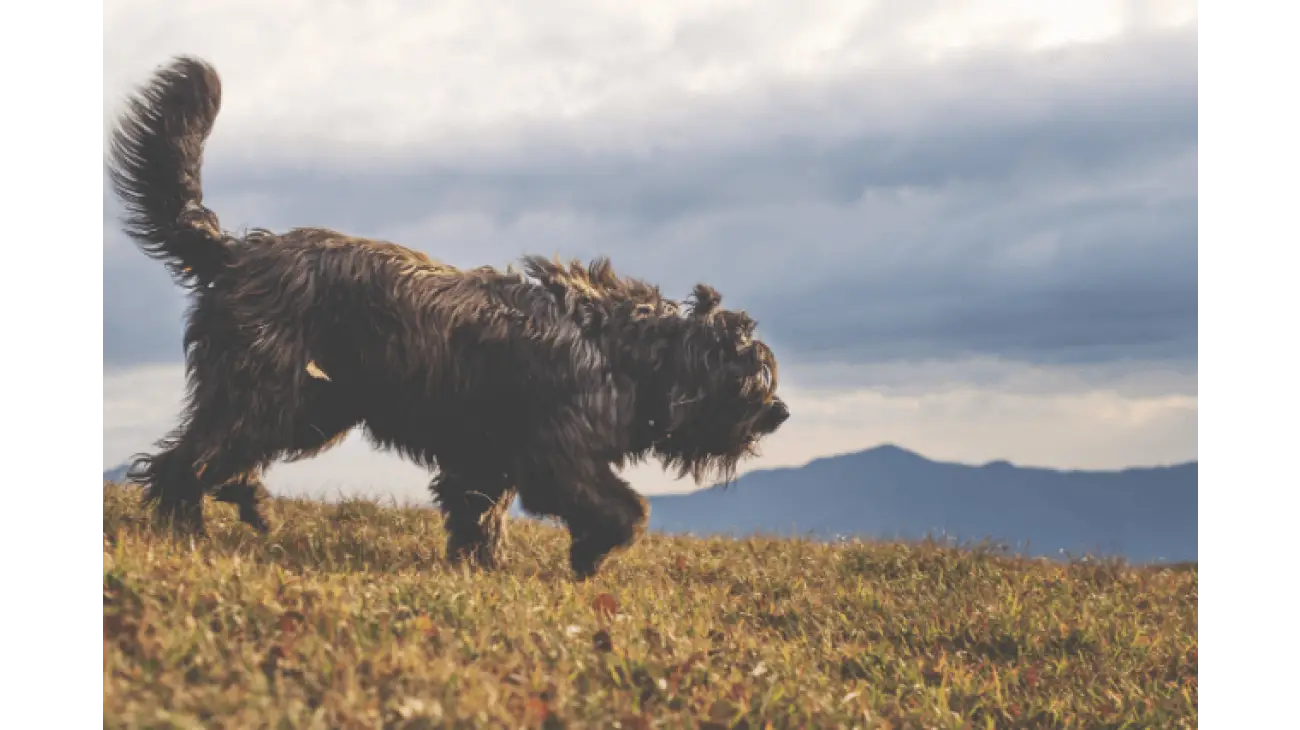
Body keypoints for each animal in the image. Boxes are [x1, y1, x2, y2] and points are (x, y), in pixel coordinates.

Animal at [106, 56, 785, 576]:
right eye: (750, 379)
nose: (779, 412)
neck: (625, 347)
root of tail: (238, 251)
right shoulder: (558, 455)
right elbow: (624, 510)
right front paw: (589, 555)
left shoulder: (486, 458)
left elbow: (477, 513)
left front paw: (480, 567)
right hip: (270, 391)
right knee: (187, 459)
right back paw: (187, 524)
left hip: (311, 403)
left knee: (211, 452)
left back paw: (240, 501)